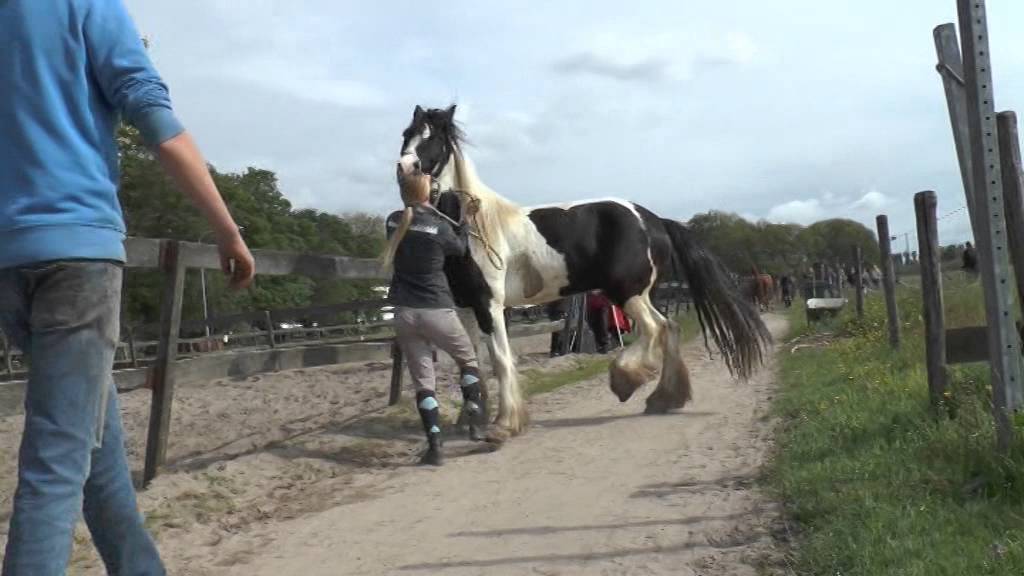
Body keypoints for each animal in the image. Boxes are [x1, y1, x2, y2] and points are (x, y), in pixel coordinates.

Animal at [393, 104, 771, 436]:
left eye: (433, 138)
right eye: (406, 134)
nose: (405, 168)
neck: (474, 227)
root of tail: (653, 219)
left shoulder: (491, 305)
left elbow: (501, 360)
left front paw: (503, 425)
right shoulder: (466, 307)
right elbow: (471, 364)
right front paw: (470, 421)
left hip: (625, 292)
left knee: (654, 329)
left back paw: (626, 380)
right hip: (638, 293)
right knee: (669, 327)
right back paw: (663, 398)